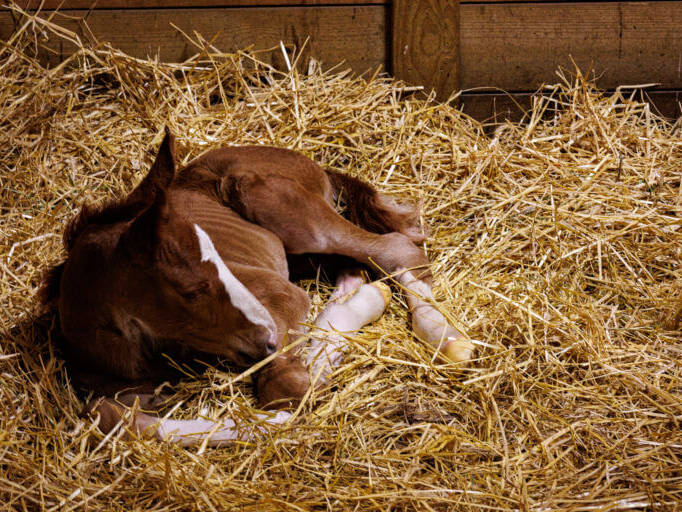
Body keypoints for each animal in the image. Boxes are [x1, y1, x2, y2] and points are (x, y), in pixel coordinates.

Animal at [42, 128, 474, 446]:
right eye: (190, 290)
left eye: (217, 257)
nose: (265, 337)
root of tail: (304, 159)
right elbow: (114, 417)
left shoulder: (278, 297)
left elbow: (288, 388)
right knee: (354, 265)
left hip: (276, 207)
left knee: (394, 249)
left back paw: (445, 337)